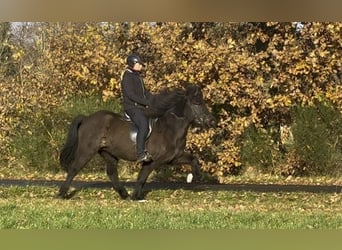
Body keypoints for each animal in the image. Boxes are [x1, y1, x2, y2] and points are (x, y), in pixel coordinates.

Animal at [58, 85, 214, 200]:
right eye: (197, 103)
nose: (211, 121)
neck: (170, 128)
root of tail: (86, 118)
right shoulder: (155, 160)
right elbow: (143, 177)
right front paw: (136, 196)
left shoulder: (173, 158)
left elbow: (193, 159)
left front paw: (198, 176)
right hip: (87, 150)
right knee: (74, 168)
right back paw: (61, 194)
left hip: (108, 153)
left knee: (112, 173)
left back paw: (124, 194)